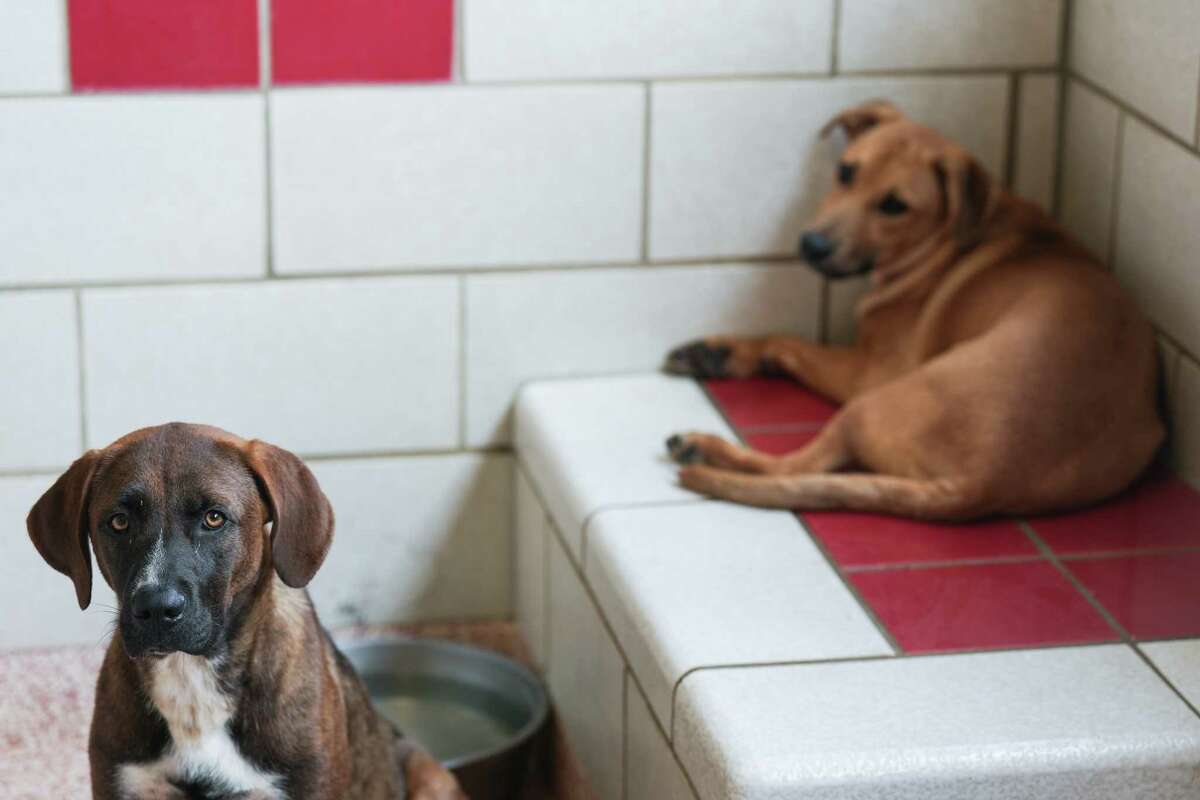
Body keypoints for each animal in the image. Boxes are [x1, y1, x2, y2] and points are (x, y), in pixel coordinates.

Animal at [27, 422, 468, 796]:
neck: (192, 679)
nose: (156, 608)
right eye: (118, 522)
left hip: (432, 777)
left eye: (214, 518)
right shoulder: (120, 779)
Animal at [667, 100, 1161, 522]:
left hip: (867, 404)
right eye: (846, 171)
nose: (813, 246)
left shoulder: (867, 371)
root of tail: (981, 485)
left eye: (894, 205)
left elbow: (792, 340)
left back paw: (704, 447)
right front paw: (719, 353)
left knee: (791, 467)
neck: (944, 242)